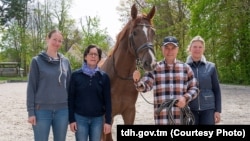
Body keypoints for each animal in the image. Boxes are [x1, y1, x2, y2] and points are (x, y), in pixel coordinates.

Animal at [100, 3, 155, 140]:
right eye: (135, 33)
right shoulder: (105, 118)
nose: (150, 62)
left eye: (153, 32)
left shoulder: (130, 112)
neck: (119, 79)